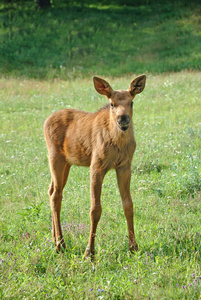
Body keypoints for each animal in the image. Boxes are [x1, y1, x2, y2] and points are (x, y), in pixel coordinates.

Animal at [44, 75, 146, 260]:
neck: (118, 143)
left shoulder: (124, 166)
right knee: (56, 195)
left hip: (67, 163)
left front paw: (133, 247)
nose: (123, 119)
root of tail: (46, 120)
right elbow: (95, 209)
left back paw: (55, 239)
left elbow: (128, 205)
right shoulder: (96, 166)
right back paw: (60, 244)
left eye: (132, 102)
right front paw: (89, 252)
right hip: (55, 158)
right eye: (112, 103)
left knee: (51, 189)